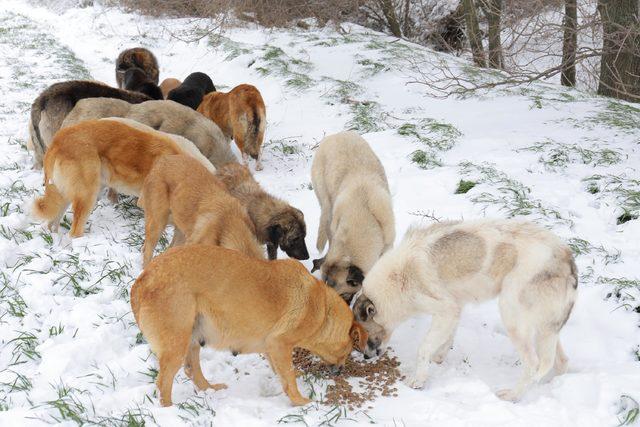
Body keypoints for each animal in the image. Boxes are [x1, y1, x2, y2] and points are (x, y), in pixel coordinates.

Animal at [130, 244, 368, 408]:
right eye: (348, 351)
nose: (340, 371)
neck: (322, 309)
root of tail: (143, 278)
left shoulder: (272, 349)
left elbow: (283, 374)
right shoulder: (279, 343)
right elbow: (289, 376)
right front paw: (300, 401)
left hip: (193, 337)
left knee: (192, 370)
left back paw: (210, 389)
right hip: (176, 343)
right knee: (163, 383)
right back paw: (169, 410)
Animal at [352, 219, 576, 402]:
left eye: (365, 333)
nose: (366, 358)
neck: (398, 278)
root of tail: (567, 259)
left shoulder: (446, 309)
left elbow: (423, 348)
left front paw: (418, 379)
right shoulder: (454, 308)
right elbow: (447, 338)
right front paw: (439, 357)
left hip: (512, 314)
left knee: (534, 364)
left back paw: (513, 395)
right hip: (545, 328)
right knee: (560, 361)